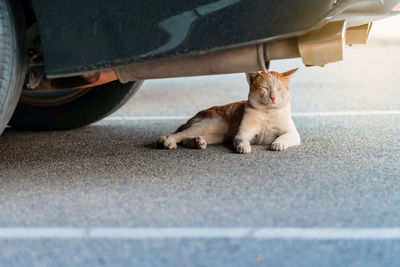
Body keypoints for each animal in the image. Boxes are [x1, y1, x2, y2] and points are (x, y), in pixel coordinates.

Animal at [157, 68, 300, 155]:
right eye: (265, 88)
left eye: (279, 89)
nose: (273, 97)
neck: (268, 112)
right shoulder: (241, 134)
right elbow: (243, 140)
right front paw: (244, 147)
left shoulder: (293, 134)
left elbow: (284, 136)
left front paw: (278, 144)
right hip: (207, 125)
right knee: (179, 134)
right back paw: (170, 142)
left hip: (217, 136)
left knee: (186, 139)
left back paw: (198, 142)